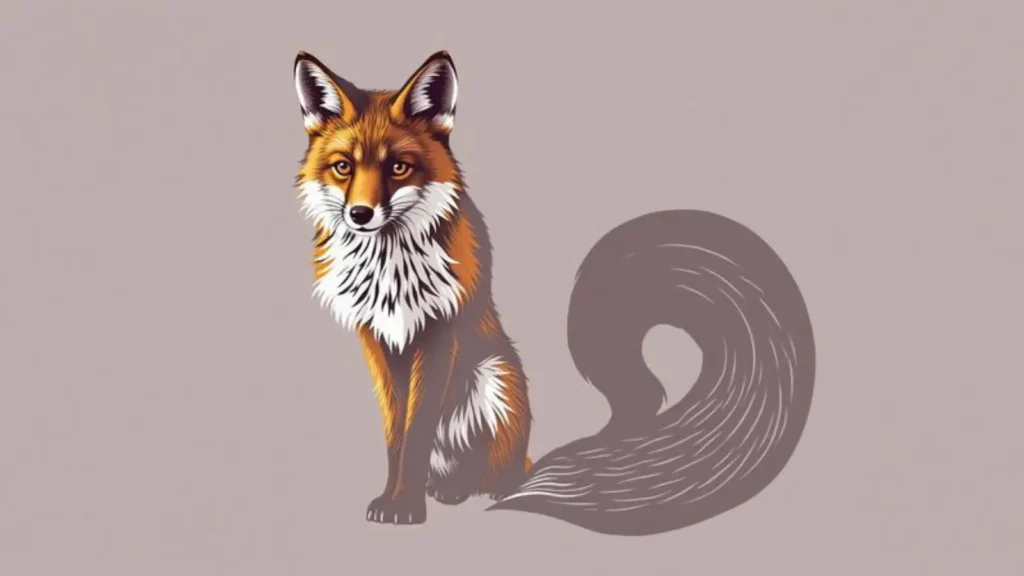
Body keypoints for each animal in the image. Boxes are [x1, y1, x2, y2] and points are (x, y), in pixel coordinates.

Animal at [290, 50, 816, 536]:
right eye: (343, 167)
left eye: (398, 167)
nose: (360, 214)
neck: (389, 270)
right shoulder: (375, 338)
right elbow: (395, 437)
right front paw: (392, 497)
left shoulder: (440, 331)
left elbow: (416, 433)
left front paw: (406, 506)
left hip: (495, 379)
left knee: (496, 474)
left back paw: (474, 490)